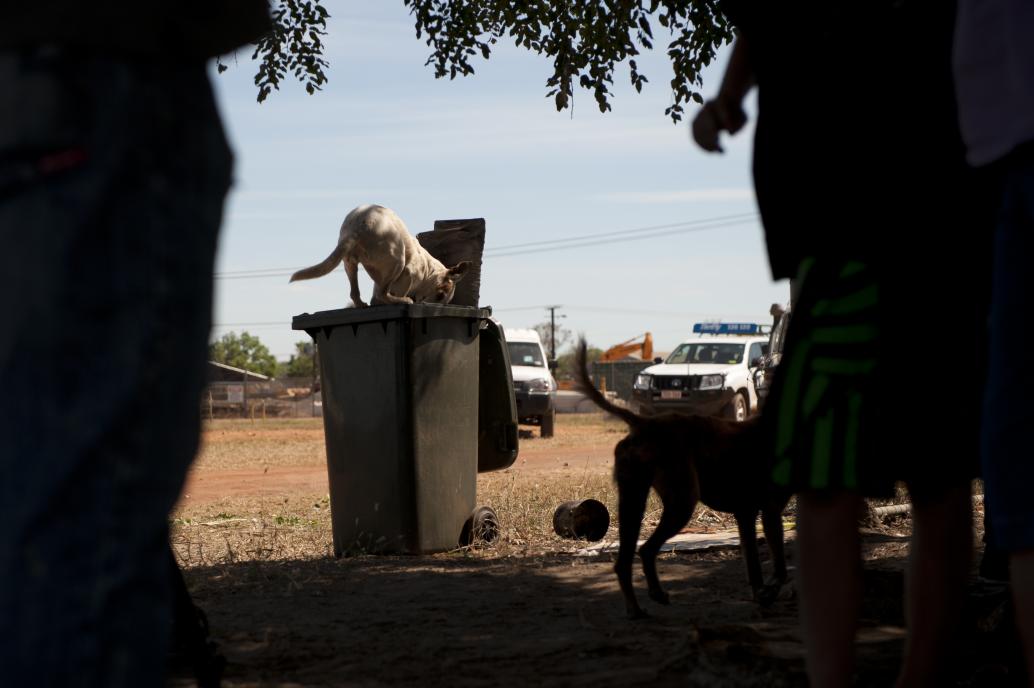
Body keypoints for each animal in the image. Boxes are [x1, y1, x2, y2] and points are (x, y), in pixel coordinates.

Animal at [289, 203, 471, 306]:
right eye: (440, 295)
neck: (429, 271)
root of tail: (359, 226)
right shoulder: (408, 274)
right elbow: (391, 293)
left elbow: (376, 296)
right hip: (398, 260)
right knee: (384, 294)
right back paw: (403, 301)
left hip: (349, 263)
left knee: (355, 293)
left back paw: (362, 304)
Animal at [574, 337, 789, 616]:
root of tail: (644, 423)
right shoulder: (769, 511)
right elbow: (780, 570)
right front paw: (768, 595)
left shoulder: (746, 514)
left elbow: (754, 567)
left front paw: (761, 597)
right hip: (682, 501)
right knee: (647, 549)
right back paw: (649, 598)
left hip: (633, 498)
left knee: (627, 559)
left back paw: (636, 607)